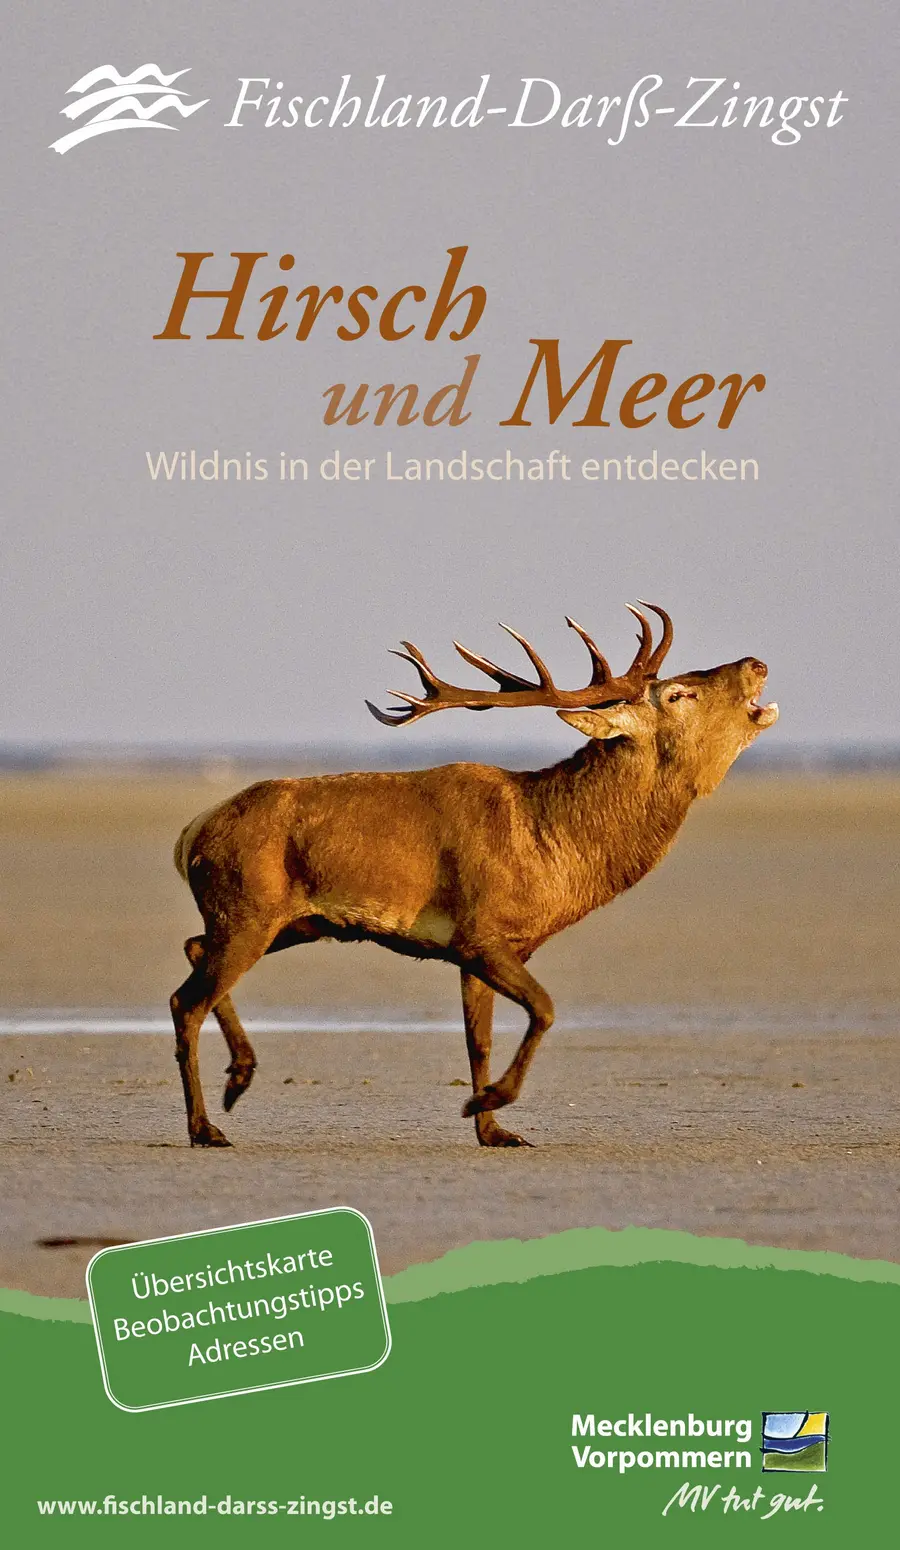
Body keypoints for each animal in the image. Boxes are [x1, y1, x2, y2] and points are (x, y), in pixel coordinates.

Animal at [170, 603, 778, 1148]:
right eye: (678, 694)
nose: (755, 662)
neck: (554, 850)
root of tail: (190, 834)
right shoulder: (479, 933)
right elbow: (545, 1009)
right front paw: (486, 1102)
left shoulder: (484, 949)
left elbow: (478, 1041)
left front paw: (494, 1129)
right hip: (248, 908)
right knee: (186, 1000)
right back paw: (207, 1125)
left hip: (289, 923)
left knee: (194, 951)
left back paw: (239, 1075)